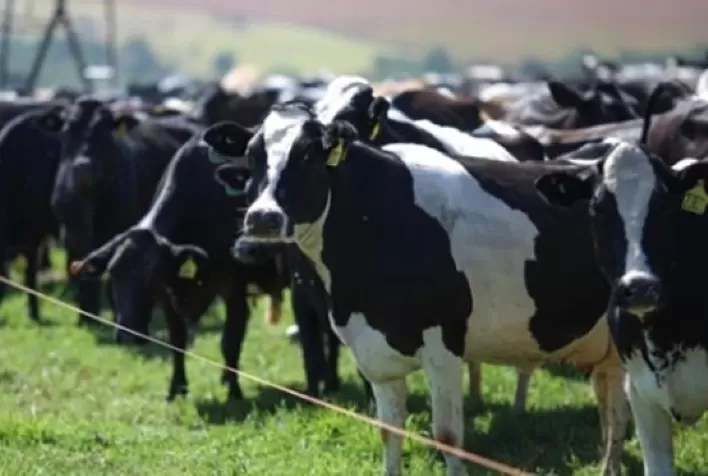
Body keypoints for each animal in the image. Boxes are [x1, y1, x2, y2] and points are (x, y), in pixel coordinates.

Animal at [47, 97, 201, 324]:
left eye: (104, 132)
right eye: (67, 130)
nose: (83, 166)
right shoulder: (71, 236)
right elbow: (81, 275)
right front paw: (86, 318)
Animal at [68, 122, 287, 401]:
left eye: (151, 276)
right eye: (114, 275)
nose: (127, 336)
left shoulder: (234, 291)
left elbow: (229, 342)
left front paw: (233, 390)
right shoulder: (168, 296)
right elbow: (177, 341)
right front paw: (176, 388)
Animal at [223, 104, 628, 476]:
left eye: (307, 154)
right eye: (252, 156)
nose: (262, 217)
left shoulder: (443, 345)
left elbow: (447, 436)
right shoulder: (373, 352)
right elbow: (389, 432)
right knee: (611, 410)